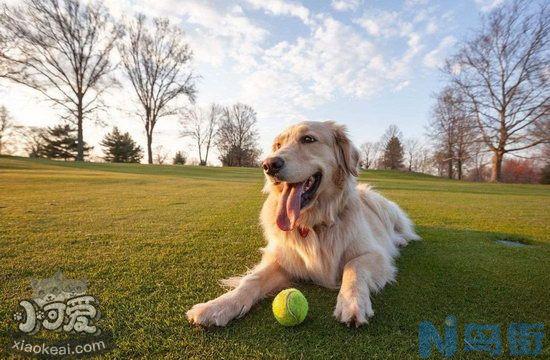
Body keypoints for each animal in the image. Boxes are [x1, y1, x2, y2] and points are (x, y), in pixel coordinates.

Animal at [188, 121, 420, 326]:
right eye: (278, 145)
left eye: (308, 139)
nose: (268, 165)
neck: (313, 224)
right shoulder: (283, 259)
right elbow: (251, 280)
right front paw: (218, 306)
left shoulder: (375, 254)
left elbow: (353, 267)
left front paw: (351, 302)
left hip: (381, 205)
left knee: (402, 231)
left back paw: (400, 240)